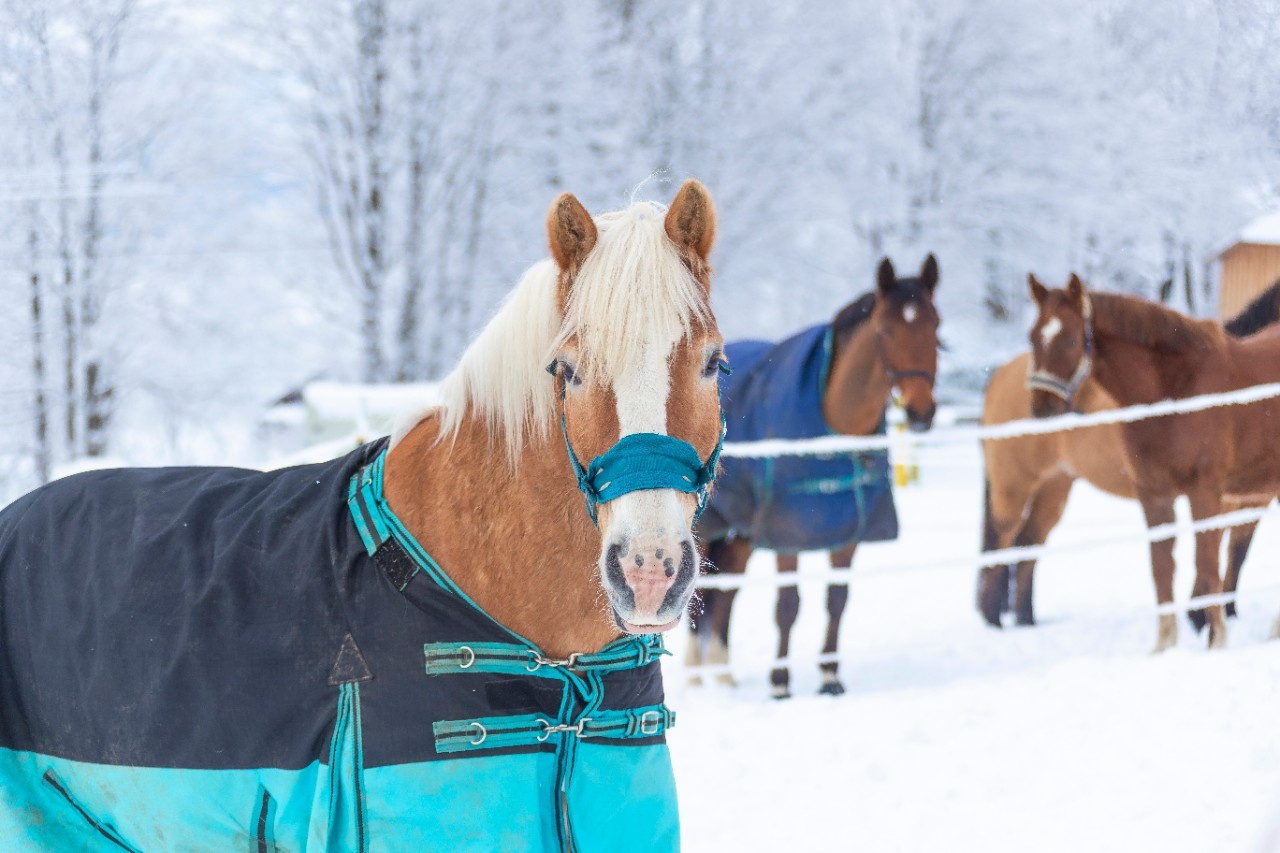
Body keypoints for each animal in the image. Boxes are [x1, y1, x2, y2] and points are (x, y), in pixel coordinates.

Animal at [691, 256, 942, 696]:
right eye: (885, 329)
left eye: (935, 326)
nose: (920, 413)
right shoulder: (788, 535)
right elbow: (788, 605)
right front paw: (780, 683)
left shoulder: (847, 534)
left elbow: (836, 600)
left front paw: (830, 677)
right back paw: (693, 674)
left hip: (740, 532)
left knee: (728, 590)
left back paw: (722, 671)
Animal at [972, 279, 1274, 625]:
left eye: (1073, 340)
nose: (1042, 408)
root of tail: (999, 377)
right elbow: (1225, 551)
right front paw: (1203, 613)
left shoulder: (1248, 497)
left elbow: (1237, 550)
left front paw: (1222, 611)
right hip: (1014, 484)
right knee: (1002, 539)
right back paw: (993, 619)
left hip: (1054, 485)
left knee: (1028, 541)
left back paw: (1025, 617)